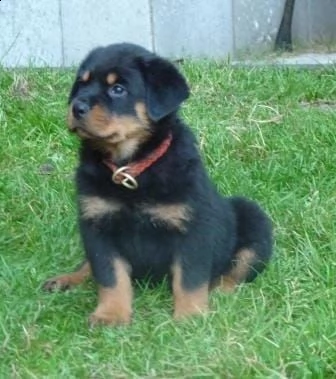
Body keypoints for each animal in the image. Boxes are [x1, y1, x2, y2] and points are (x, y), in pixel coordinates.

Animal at [44, 42, 272, 326]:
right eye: (81, 84)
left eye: (118, 89)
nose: (77, 107)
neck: (131, 168)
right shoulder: (97, 225)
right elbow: (109, 275)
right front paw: (110, 314)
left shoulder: (192, 228)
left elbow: (190, 278)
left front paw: (190, 317)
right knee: (88, 265)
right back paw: (66, 279)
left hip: (253, 217)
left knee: (237, 270)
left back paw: (219, 291)